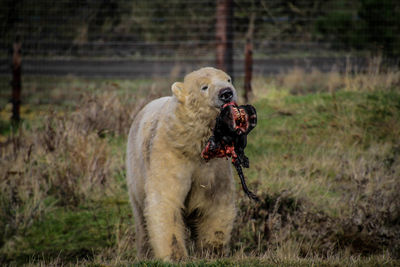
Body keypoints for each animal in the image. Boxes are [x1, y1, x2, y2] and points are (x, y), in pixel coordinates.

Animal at [125, 67, 238, 262]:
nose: (226, 93)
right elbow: (165, 200)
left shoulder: (214, 165)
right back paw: (145, 253)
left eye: (228, 79)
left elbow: (216, 201)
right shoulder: (169, 154)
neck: (192, 143)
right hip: (135, 171)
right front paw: (175, 256)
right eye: (204, 87)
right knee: (141, 217)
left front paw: (212, 251)